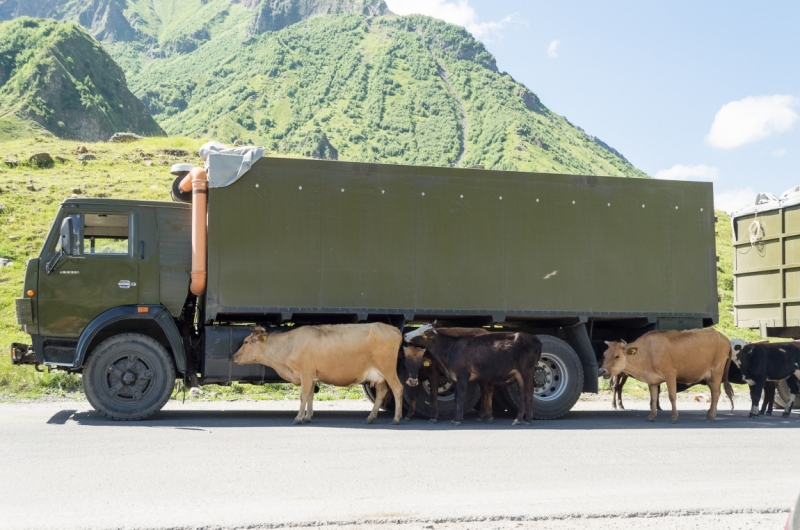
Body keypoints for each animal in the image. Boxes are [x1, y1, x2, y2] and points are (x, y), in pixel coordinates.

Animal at [234, 320, 404, 422]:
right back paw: (370, 418)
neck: (290, 345)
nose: (234, 356)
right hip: (378, 376)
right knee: (382, 392)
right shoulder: (311, 376)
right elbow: (310, 396)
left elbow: (303, 396)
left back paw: (396, 418)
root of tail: (391, 328)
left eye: (246, 341)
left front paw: (298, 418)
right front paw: (308, 417)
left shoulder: (306, 373)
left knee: (398, 388)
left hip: (388, 369)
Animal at [600, 328, 732, 422]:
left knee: (716, 393)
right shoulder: (652, 380)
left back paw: (712, 416)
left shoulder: (670, 374)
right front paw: (651, 416)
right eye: (605, 354)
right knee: (714, 392)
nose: (602, 371)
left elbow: (672, 396)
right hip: (708, 377)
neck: (648, 352)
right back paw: (709, 413)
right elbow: (653, 398)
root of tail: (724, 338)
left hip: (717, 371)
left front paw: (674, 417)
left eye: (617, 356)